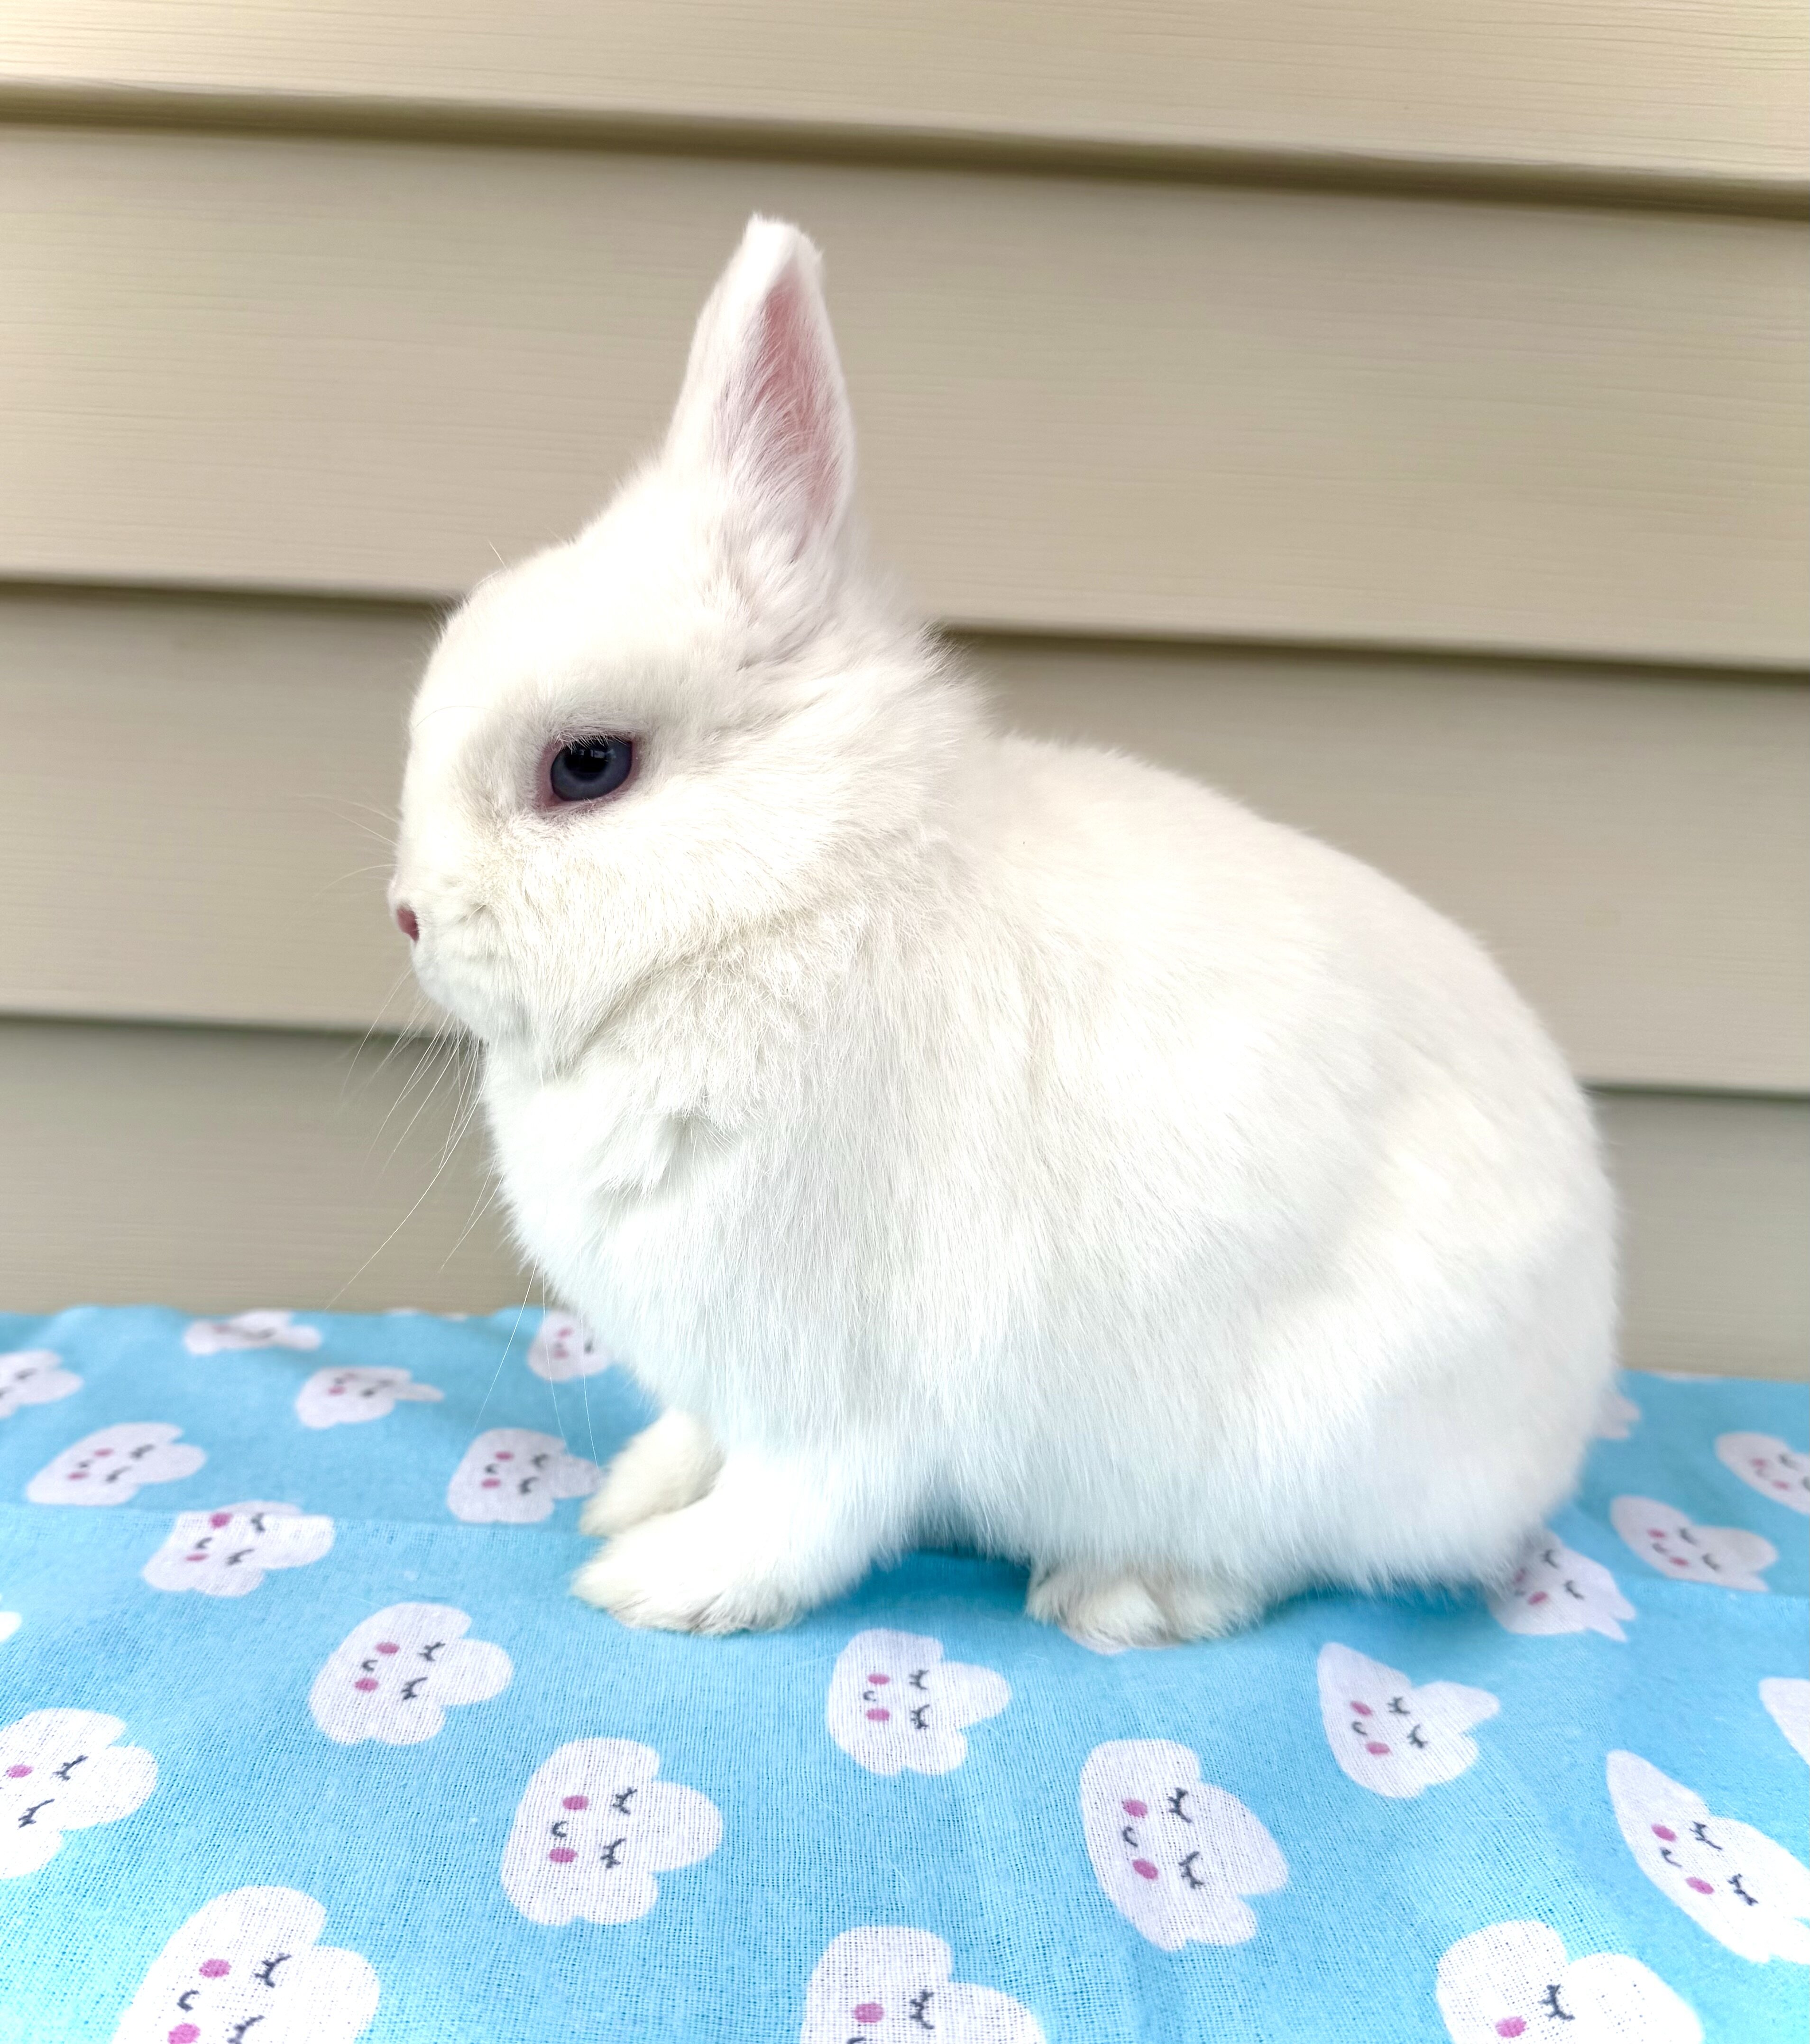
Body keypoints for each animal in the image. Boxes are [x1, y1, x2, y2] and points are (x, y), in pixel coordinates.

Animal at [391, 215, 1616, 1650]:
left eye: (587, 765)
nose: (406, 914)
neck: (794, 891)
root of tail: (1567, 1399)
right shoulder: (732, 1378)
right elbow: (698, 1436)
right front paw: (631, 1496)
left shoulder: (834, 1391)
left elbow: (799, 1509)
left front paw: (661, 1580)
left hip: (1308, 1439)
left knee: (1288, 1555)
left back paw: (1125, 1593)